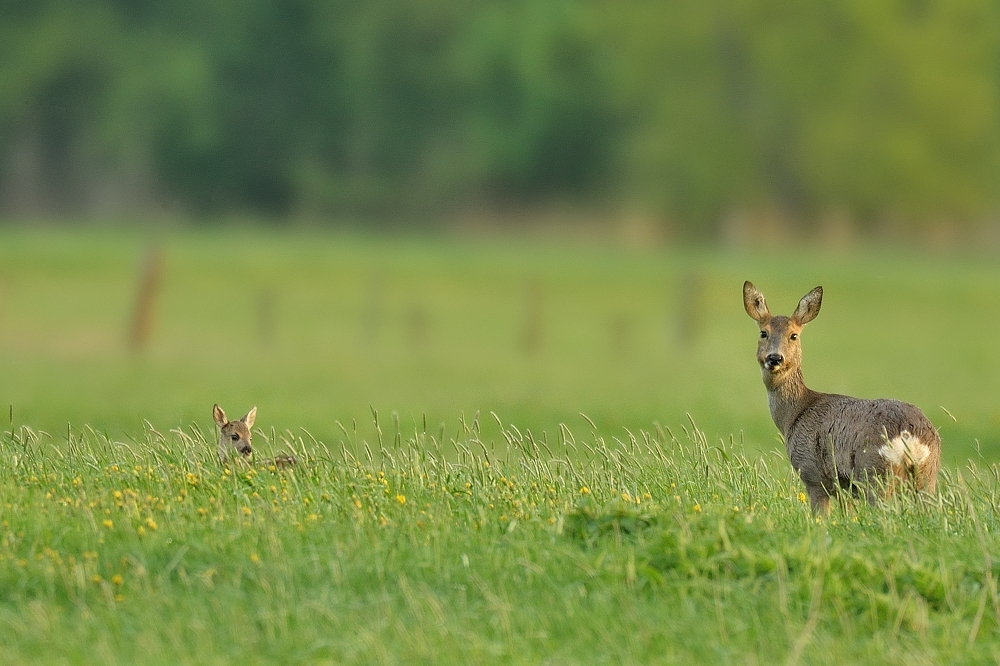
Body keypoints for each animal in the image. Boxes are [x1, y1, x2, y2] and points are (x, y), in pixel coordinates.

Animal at [744, 280, 936, 512]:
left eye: (793, 335)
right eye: (763, 333)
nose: (774, 358)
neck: (795, 413)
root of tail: (909, 436)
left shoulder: (812, 473)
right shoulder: (845, 488)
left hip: (875, 473)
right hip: (927, 475)